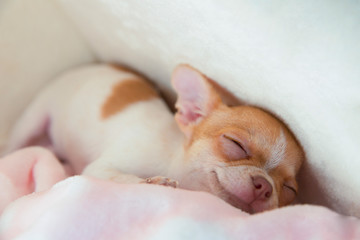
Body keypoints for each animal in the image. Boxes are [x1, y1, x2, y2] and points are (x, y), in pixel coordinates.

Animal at [4, 63, 304, 212]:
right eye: (235, 145)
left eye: (289, 189)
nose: (264, 186)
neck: (173, 158)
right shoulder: (100, 169)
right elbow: (125, 178)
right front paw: (155, 183)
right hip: (34, 116)